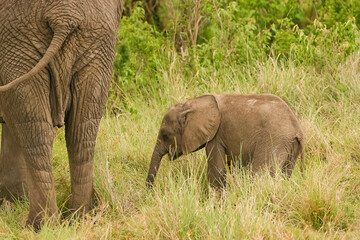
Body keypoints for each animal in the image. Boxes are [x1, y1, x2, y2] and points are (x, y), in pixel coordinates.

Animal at [0, 0, 123, 229]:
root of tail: (64, 15)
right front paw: (13, 202)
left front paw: (11, 204)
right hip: (98, 40)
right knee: (80, 130)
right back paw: (79, 219)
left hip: (16, 39)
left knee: (36, 130)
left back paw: (39, 226)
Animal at [146, 94, 304, 189]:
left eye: (165, 134)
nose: (149, 193)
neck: (193, 103)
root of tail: (297, 129)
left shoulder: (216, 137)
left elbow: (216, 172)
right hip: (289, 146)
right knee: (285, 174)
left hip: (273, 141)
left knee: (259, 175)